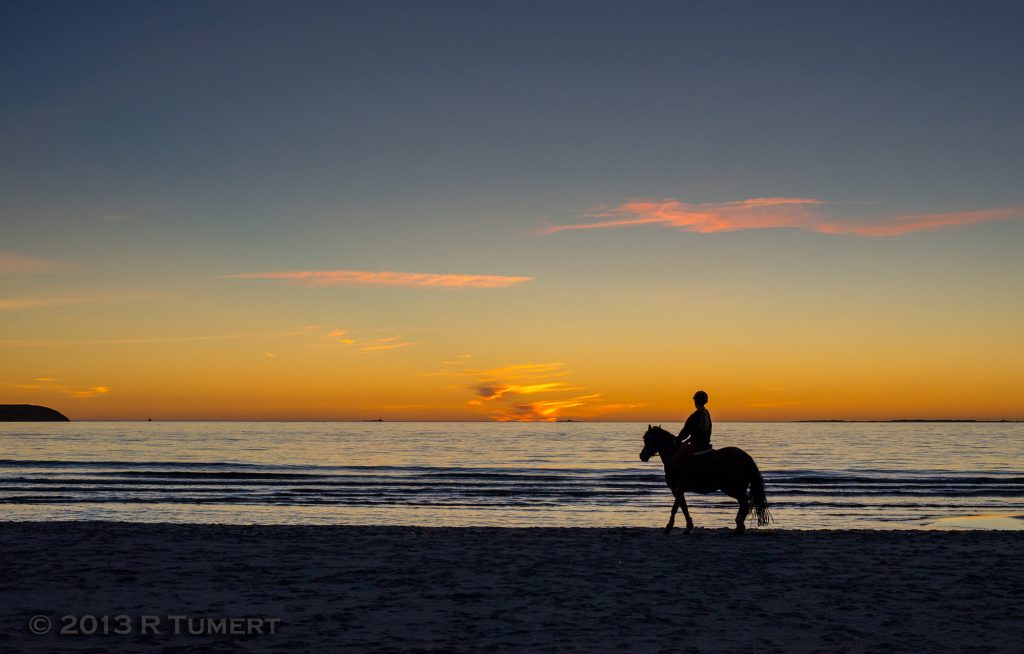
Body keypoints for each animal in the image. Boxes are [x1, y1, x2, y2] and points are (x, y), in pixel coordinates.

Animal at [634, 425, 770, 536]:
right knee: (744, 504)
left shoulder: (678, 489)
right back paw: (739, 527)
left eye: (648, 439)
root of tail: (747, 458)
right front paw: (688, 527)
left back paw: (739, 526)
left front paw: (670, 527)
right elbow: (683, 507)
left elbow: (676, 508)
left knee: (745, 504)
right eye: (644, 439)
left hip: (733, 488)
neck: (673, 454)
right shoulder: (679, 490)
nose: (642, 456)